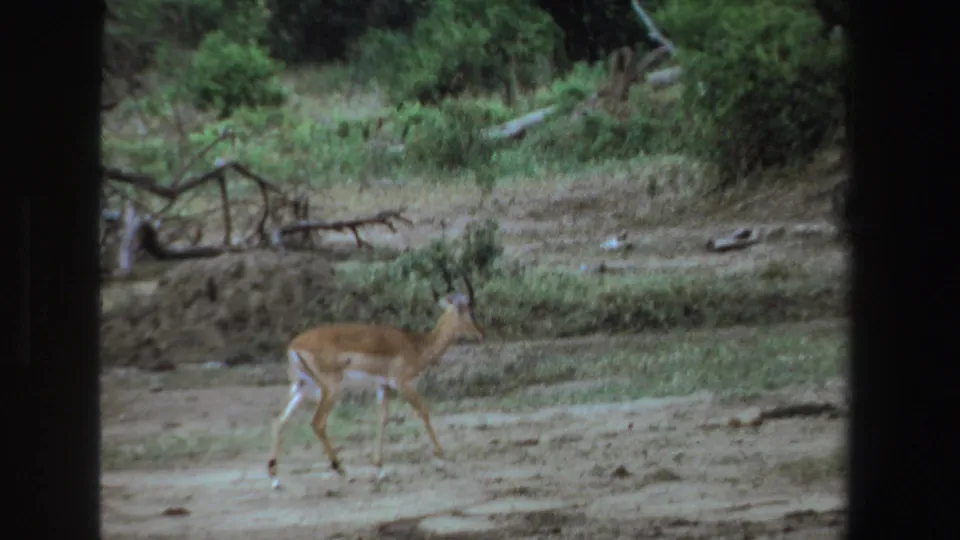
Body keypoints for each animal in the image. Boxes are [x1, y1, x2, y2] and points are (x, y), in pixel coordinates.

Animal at [267, 265, 485, 490]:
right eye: (469, 312)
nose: (481, 334)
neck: (416, 345)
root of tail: (294, 346)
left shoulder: (383, 385)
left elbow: (383, 419)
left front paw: (381, 470)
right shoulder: (403, 384)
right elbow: (423, 411)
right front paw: (441, 460)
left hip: (300, 388)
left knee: (279, 421)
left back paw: (275, 480)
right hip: (330, 389)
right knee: (317, 423)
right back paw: (343, 471)